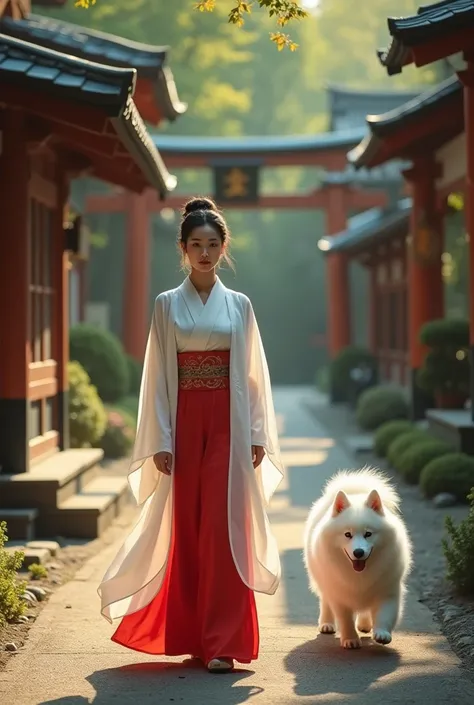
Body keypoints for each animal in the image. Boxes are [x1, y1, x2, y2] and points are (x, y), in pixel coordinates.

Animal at [304, 468, 412, 648]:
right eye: (347, 534)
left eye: (368, 534)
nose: (359, 552)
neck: (359, 574)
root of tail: (355, 492)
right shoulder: (338, 593)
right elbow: (345, 618)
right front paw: (350, 639)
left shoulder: (388, 589)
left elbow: (385, 613)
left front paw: (382, 633)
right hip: (323, 579)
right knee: (325, 600)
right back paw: (327, 623)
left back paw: (365, 624)